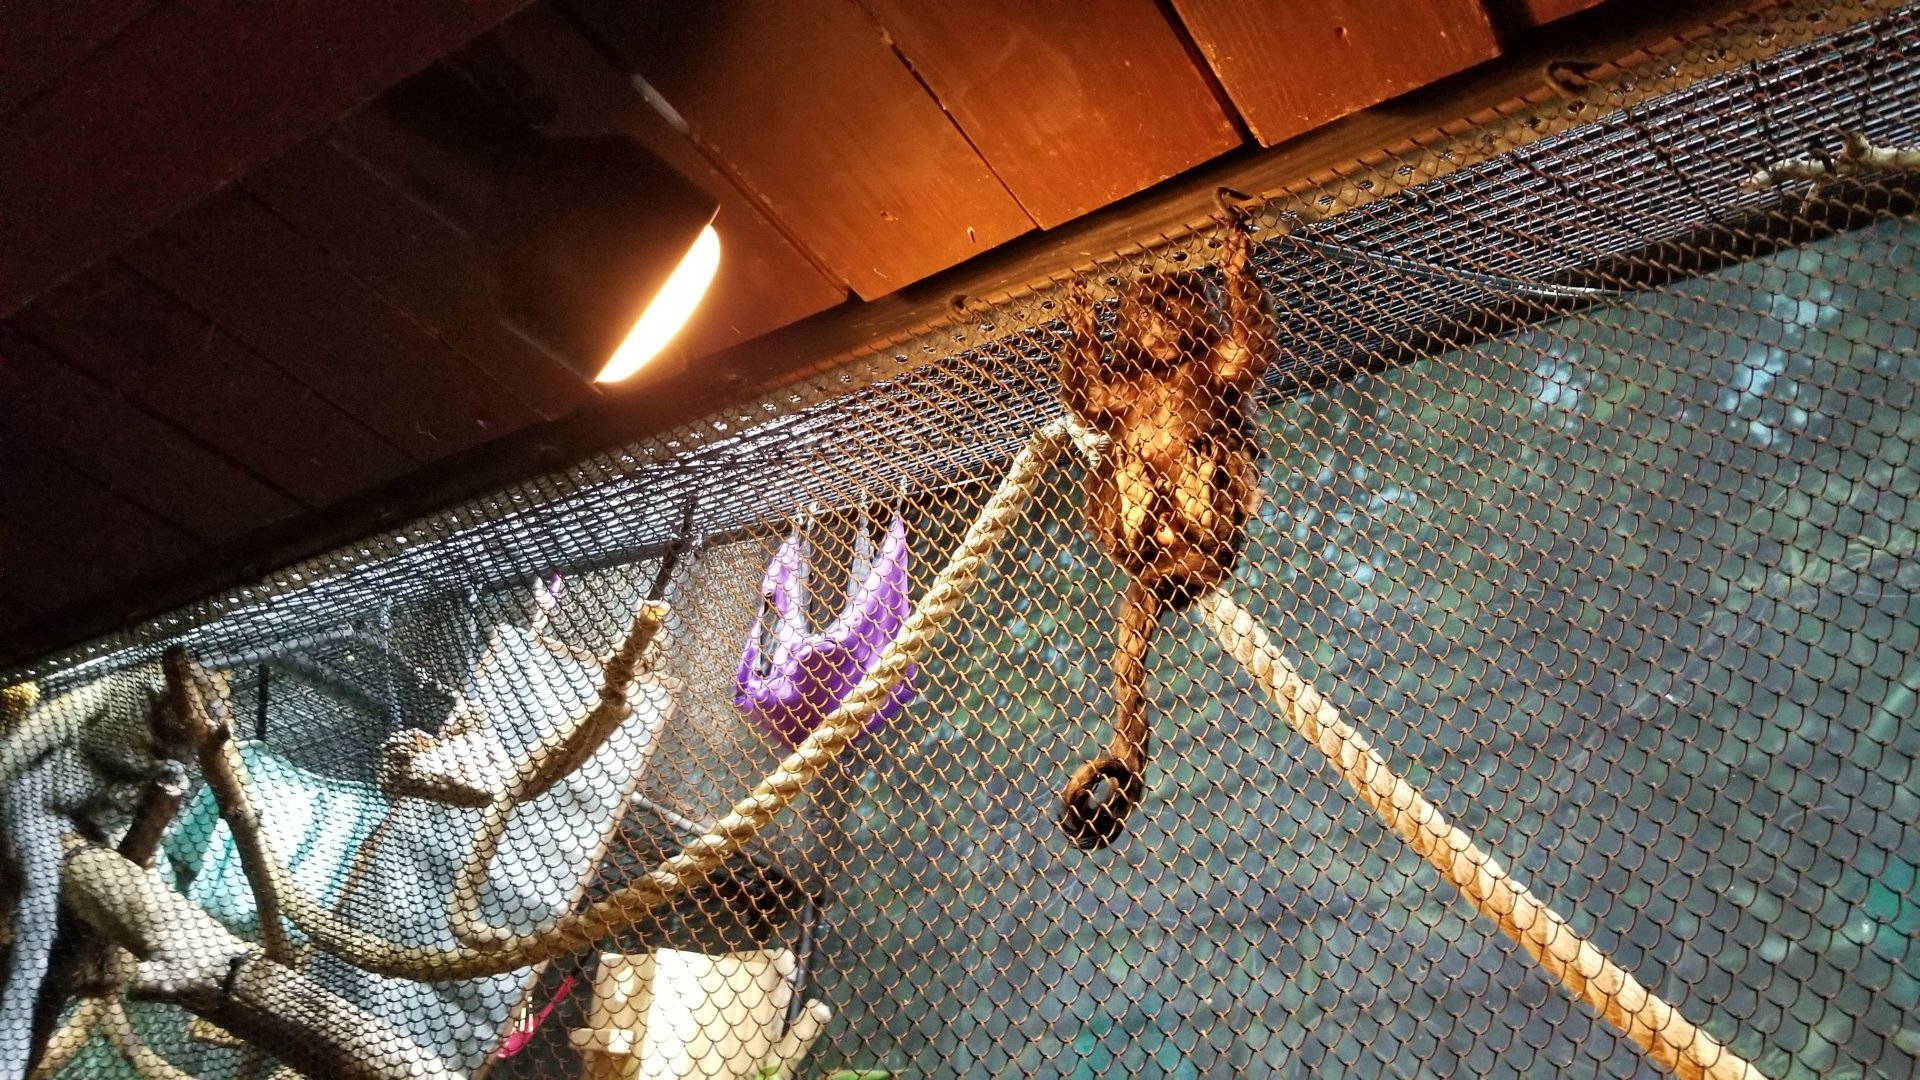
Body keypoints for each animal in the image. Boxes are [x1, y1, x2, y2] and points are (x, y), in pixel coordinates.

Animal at [0, 665, 190, 1080]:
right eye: (173, 714)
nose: (176, 743)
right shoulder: (128, 708)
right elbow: (101, 740)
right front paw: (158, 769)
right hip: (51, 780)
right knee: (79, 756)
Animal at [1056, 212, 1271, 850]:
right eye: (1146, 306)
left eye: (1175, 301)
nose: (1160, 319)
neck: (1163, 368)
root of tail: (1163, 569)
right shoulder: (1123, 385)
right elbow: (1090, 399)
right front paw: (1082, 325)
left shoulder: (1211, 362)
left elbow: (1248, 351)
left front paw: (1233, 263)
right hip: (1134, 543)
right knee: (1114, 465)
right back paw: (1133, 508)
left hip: (1218, 545)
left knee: (1224, 449)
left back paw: (1201, 499)